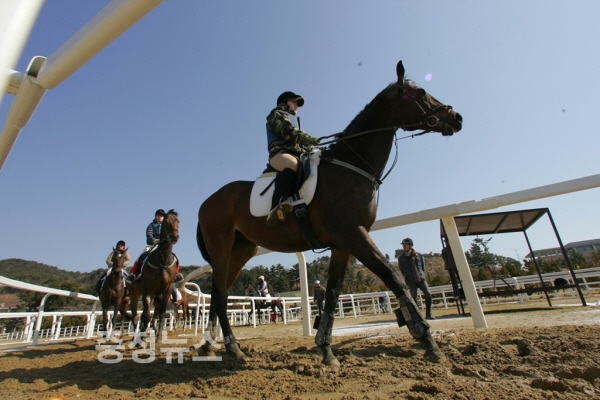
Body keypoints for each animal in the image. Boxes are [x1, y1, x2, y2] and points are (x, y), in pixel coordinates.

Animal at [128, 209, 180, 340]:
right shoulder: (148, 289)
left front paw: (159, 336)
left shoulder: (166, 289)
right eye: (166, 222)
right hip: (135, 294)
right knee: (136, 316)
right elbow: (146, 315)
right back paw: (137, 336)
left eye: (178, 221)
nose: (174, 237)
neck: (162, 260)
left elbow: (161, 313)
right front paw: (141, 338)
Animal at [196, 60, 462, 366]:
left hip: (240, 252)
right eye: (420, 92)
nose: (457, 118)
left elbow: (333, 294)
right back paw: (234, 349)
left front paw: (325, 349)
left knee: (219, 293)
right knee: (219, 296)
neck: (350, 166)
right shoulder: (354, 234)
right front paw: (427, 338)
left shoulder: (342, 245)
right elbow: (392, 277)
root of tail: (207, 202)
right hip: (221, 248)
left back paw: (209, 346)